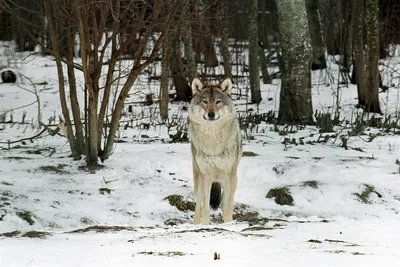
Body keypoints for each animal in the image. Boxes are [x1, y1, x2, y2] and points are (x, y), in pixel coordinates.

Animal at [189, 78, 242, 226]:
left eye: (218, 101)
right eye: (205, 101)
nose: (211, 114)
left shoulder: (230, 175)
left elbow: (228, 206)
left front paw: (229, 225)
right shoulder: (206, 176)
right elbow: (205, 208)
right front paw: (204, 225)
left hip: (231, 180)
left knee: (224, 202)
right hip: (198, 180)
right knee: (198, 205)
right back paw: (195, 224)